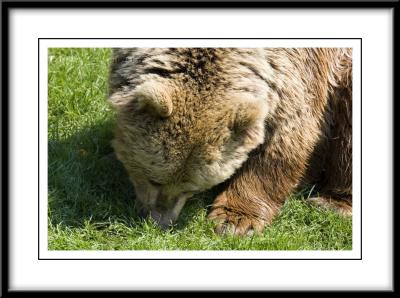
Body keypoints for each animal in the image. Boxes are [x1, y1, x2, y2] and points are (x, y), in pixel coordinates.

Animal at [108, 48, 352, 235]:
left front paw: (234, 221)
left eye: (191, 188)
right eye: (154, 180)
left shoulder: (294, 77)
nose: (160, 221)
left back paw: (332, 204)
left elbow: (283, 143)